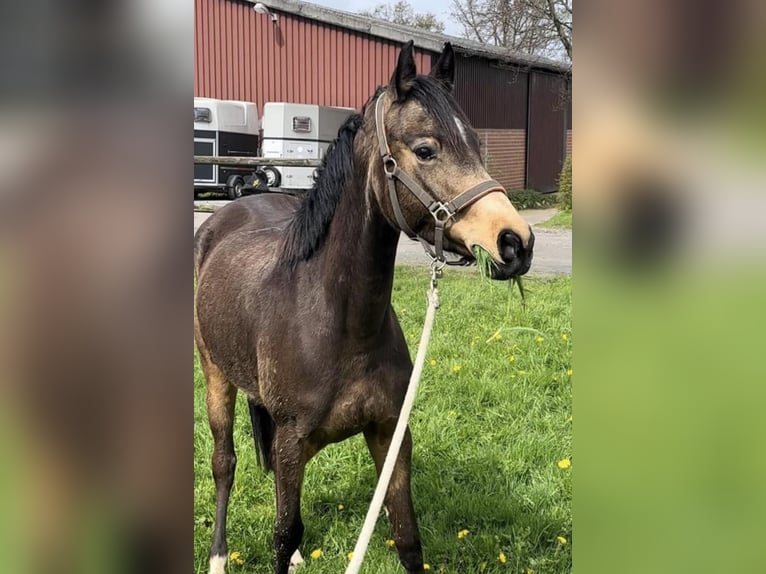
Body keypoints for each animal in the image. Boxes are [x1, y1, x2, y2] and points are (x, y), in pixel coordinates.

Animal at [195, 41, 536, 574]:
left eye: (478, 147)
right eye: (425, 149)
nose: (515, 242)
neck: (341, 325)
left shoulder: (390, 434)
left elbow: (407, 537)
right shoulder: (291, 443)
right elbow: (284, 532)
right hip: (215, 376)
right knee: (224, 463)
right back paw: (218, 556)